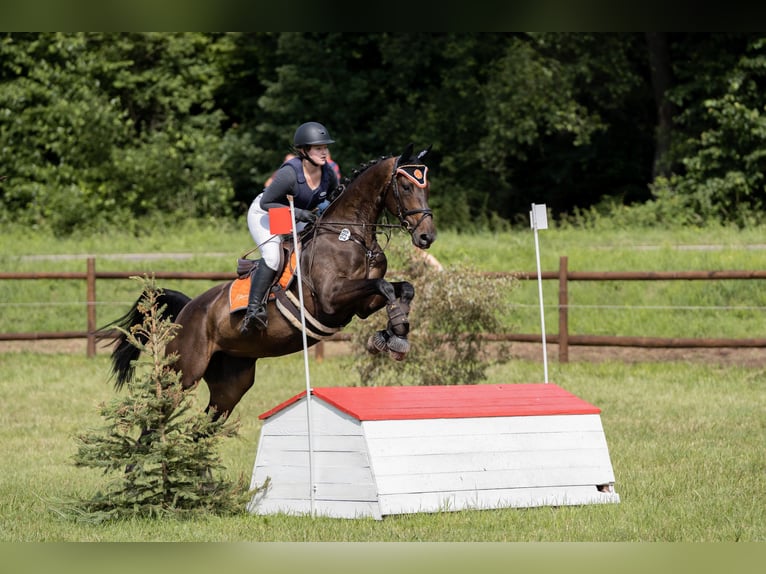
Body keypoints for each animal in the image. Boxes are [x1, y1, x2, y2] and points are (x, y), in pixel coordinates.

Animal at [104, 143, 438, 424]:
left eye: (427, 187)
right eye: (406, 186)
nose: (427, 237)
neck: (351, 235)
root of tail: (188, 310)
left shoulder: (361, 306)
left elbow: (401, 288)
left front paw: (395, 333)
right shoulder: (331, 299)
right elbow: (384, 286)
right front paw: (394, 333)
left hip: (231, 383)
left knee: (204, 425)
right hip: (183, 371)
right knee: (157, 416)